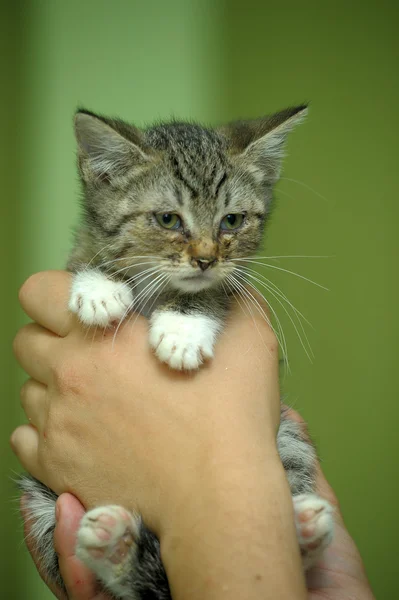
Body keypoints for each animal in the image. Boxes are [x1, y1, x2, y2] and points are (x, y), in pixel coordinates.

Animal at [20, 108, 336, 600]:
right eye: (169, 219)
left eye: (231, 221)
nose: (206, 259)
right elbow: (85, 256)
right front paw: (99, 287)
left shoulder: (233, 281)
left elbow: (214, 290)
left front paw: (183, 329)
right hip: (38, 497)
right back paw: (117, 545)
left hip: (288, 435)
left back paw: (300, 530)